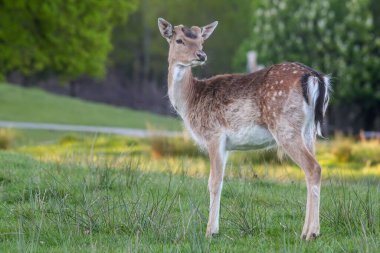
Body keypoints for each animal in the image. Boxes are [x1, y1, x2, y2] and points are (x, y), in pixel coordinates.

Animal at [157, 17, 330, 239]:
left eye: (201, 41)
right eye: (179, 40)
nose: (201, 55)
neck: (190, 101)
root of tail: (315, 78)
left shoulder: (214, 135)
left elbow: (214, 182)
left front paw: (210, 231)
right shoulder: (227, 145)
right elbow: (221, 181)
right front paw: (214, 228)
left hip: (285, 126)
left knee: (313, 167)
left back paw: (311, 233)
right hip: (309, 131)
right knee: (311, 170)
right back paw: (305, 231)